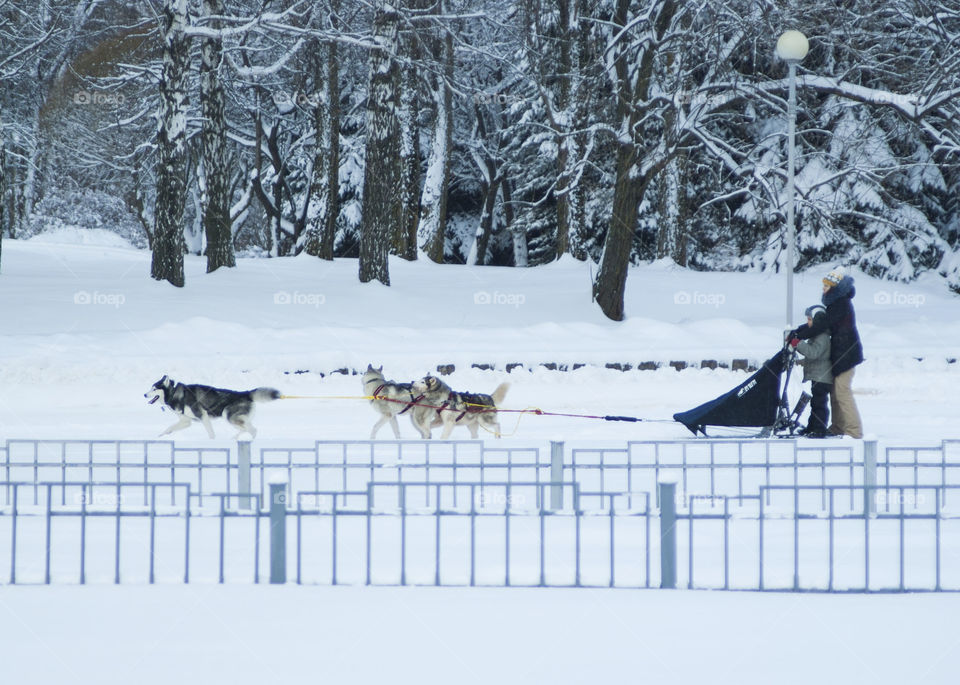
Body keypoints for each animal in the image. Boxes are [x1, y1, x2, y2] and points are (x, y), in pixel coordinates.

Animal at [144, 374, 282, 438]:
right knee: (247, 429)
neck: (174, 393)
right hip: (235, 419)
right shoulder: (186, 421)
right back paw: (235, 439)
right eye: (151, 388)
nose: (145, 394)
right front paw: (160, 437)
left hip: (228, 415)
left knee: (252, 430)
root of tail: (246, 393)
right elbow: (169, 428)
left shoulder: (203, 416)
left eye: (154, 389)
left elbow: (211, 433)